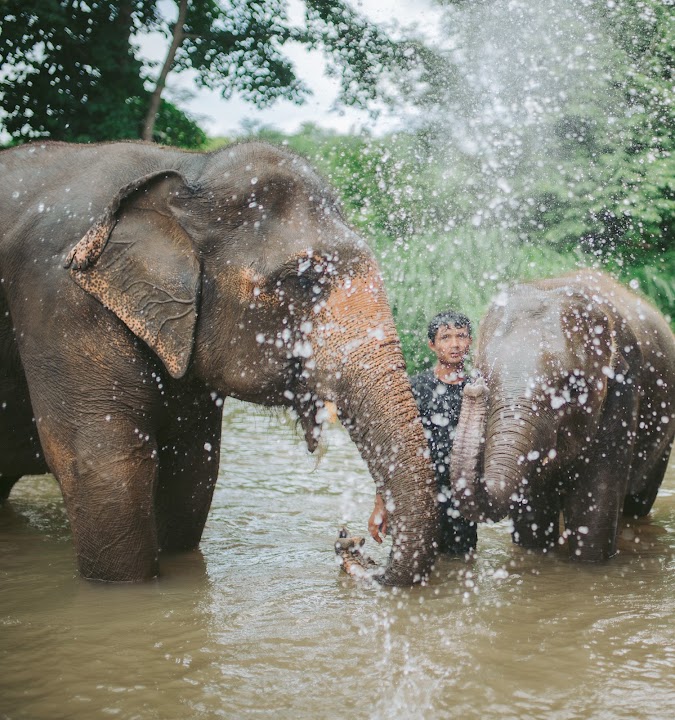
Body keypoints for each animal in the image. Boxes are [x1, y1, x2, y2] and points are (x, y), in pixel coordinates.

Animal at [0, 140, 438, 585]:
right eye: (301, 281)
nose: (353, 544)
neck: (186, 170)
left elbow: (193, 467)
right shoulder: (61, 304)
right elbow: (106, 468)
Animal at [450, 271, 675, 561]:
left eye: (573, 388)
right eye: (482, 375)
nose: (474, 388)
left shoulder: (624, 393)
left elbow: (593, 519)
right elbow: (533, 522)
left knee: (639, 502)